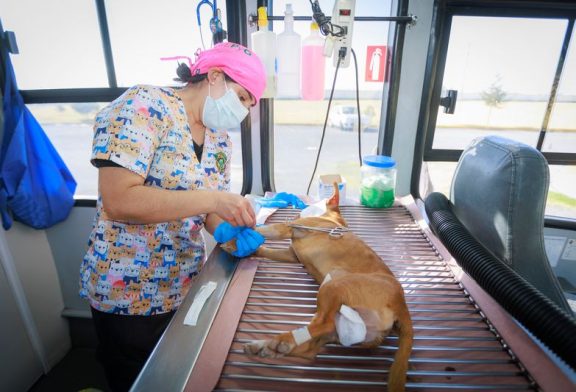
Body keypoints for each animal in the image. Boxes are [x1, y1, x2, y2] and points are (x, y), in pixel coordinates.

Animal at [220, 185, 414, 392]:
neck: (331, 219)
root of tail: (401, 305)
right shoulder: (291, 254)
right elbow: (267, 250)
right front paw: (247, 248)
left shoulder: (289, 229)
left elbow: (262, 230)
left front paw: (234, 241)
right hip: (342, 327)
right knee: (310, 348)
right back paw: (270, 347)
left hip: (333, 286)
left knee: (323, 324)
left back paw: (279, 342)